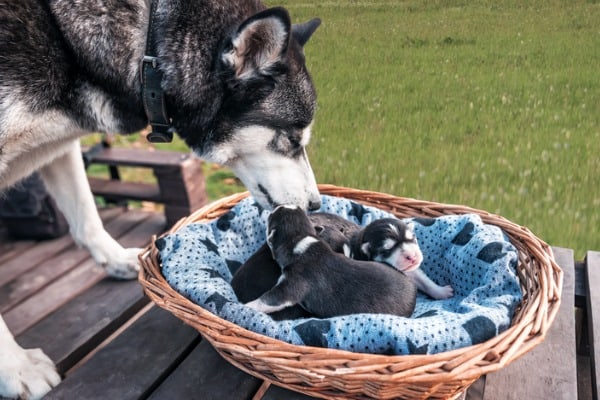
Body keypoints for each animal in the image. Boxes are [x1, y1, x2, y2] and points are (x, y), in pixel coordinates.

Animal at [0, 0, 322, 396]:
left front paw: (113, 259)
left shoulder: (59, 148)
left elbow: (87, 215)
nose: (315, 204)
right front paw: (15, 368)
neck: (147, 52)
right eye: (292, 138)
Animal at [244, 206, 418, 318]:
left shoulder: (290, 287)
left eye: (271, 218)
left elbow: (266, 300)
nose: (275, 207)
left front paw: (245, 306)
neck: (302, 241)